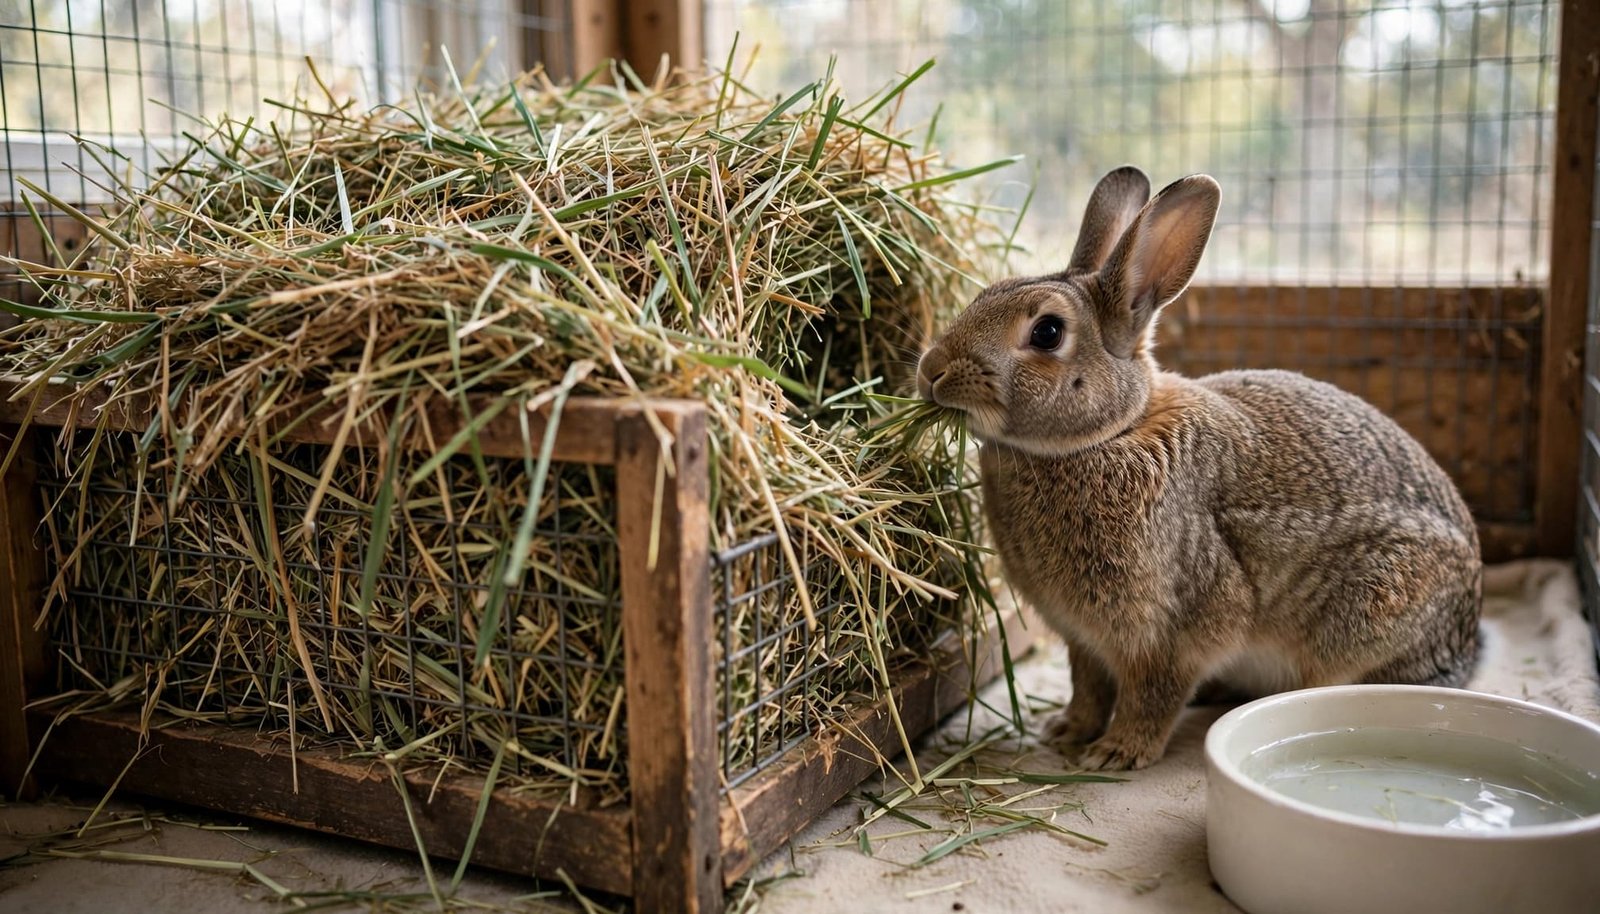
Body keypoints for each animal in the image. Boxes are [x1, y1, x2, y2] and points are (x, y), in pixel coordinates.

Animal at [916, 166, 1482, 770]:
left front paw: (1116, 753)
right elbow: (1088, 686)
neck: (1110, 433)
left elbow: (1153, 694)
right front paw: (1066, 731)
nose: (931, 370)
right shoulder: (1081, 638)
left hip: (1369, 617)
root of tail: (1469, 638)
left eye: (1047, 332)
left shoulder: (1175, 628)